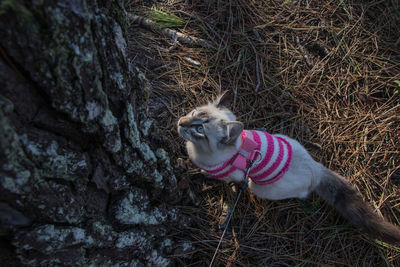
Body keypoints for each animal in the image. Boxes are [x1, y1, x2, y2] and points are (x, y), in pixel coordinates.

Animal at [177, 91, 400, 246]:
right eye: (193, 113)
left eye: (199, 129)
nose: (180, 122)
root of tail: (316, 168)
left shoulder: (234, 174)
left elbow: (219, 176)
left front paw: (204, 173)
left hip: (257, 186)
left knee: (299, 194)